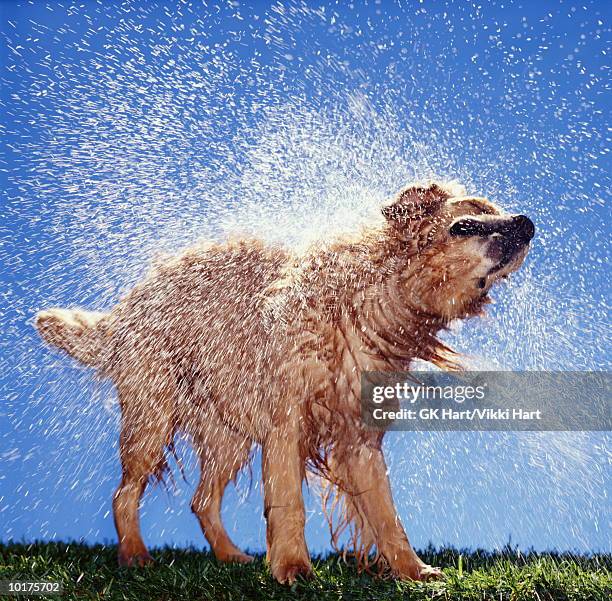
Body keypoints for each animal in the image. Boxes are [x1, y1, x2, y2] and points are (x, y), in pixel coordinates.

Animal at [37, 182, 536, 580]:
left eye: (497, 209)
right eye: (466, 223)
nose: (528, 222)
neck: (367, 301)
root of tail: (126, 305)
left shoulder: (360, 442)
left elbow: (386, 516)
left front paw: (411, 570)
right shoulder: (286, 425)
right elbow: (288, 505)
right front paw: (293, 567)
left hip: (229, 436)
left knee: (202, 500)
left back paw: (230, 555)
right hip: (153, 420)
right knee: (124, 494)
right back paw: (135, 555)